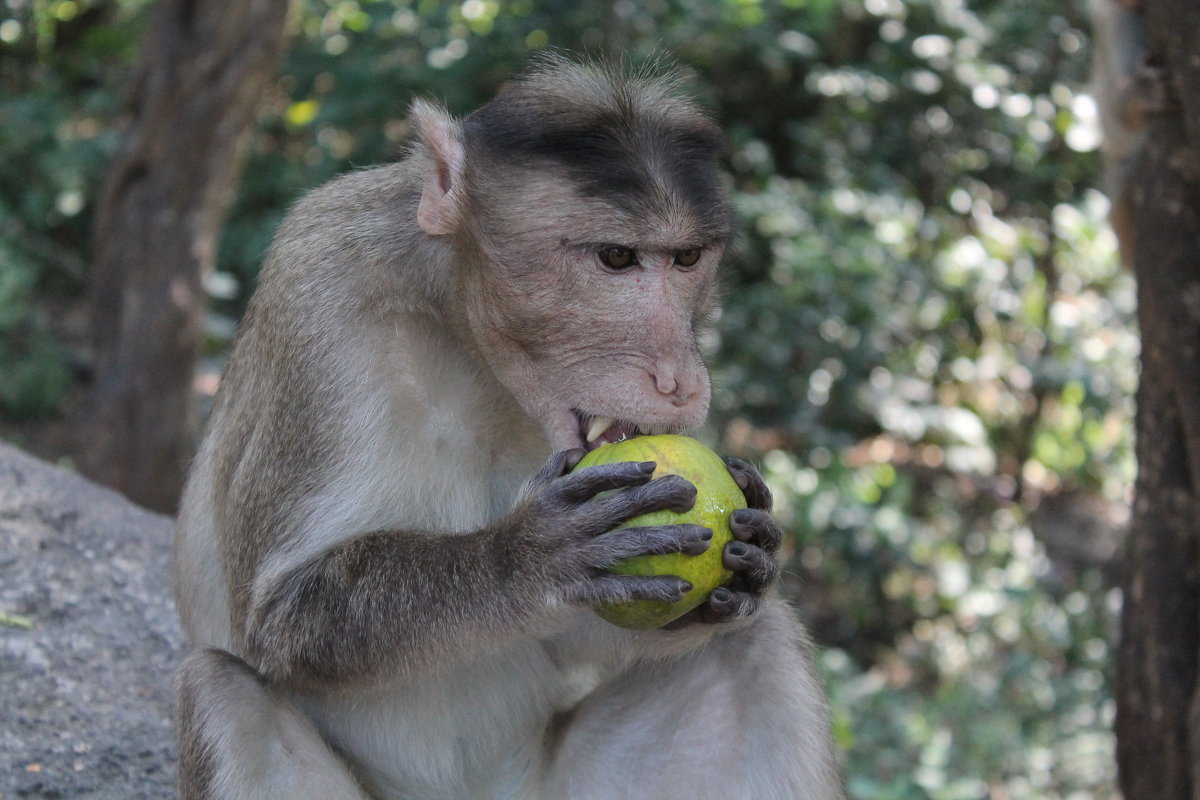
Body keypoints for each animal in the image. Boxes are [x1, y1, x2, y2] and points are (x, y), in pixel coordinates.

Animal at [174, 57, 849, 800]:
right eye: (617, 258)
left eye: (686, 260)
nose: (681, 379)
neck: (465, 339)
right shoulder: (319, 293)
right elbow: (276, 616)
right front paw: (526, 556)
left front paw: (754, 558)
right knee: (223, 690)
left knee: (758, 648)